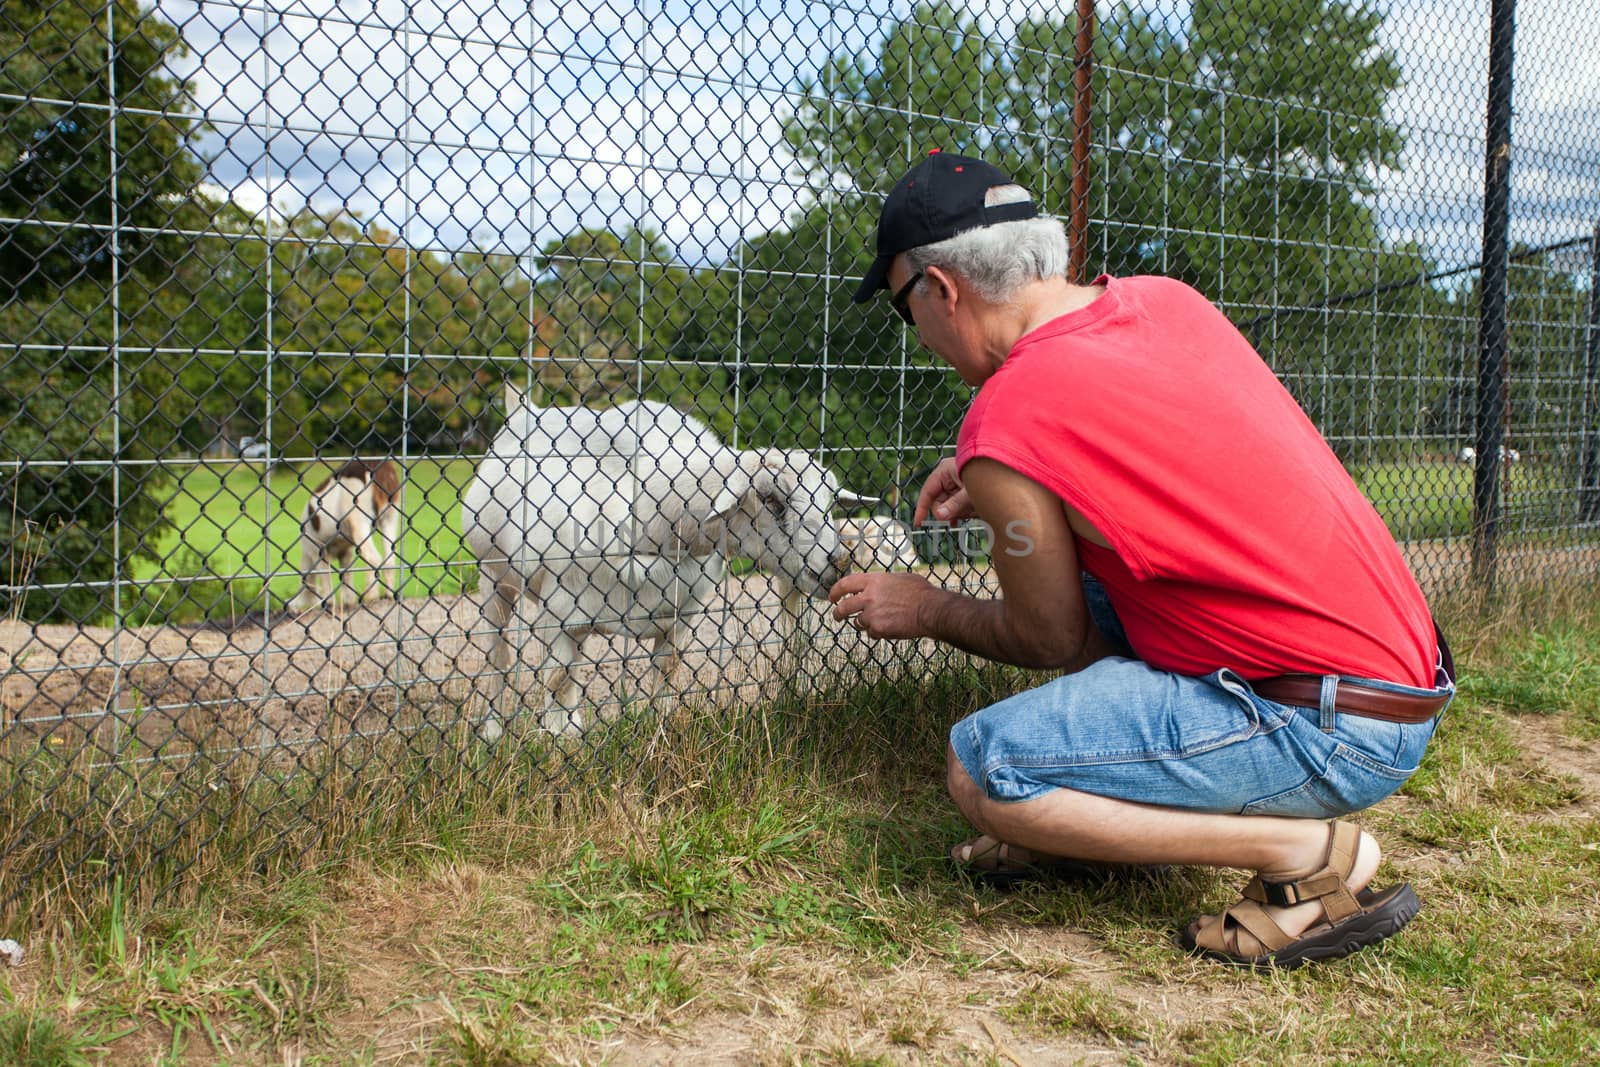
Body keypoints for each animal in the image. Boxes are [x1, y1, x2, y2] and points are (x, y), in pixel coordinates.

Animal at [288, 457, 403, 614]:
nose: (291, 609)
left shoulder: (317, 550)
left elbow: (326, 578)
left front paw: (329, 606)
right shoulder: (346, 553)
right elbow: (346, 576)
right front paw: (349, 603)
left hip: (358, 519)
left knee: (373, 558)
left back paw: (369, 596)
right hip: (390, 516)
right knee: (389, 558)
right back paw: (388, 596)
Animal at [464, 396, 876, 739]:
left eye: (829, 503)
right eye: (771, 500)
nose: (837, 565)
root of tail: (525, 407)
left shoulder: (677, 616)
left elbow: (666, 672)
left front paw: (655, 730)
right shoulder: (557, 616)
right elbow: (557, 680)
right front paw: (555, 744)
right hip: (491, 576)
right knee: (498, 655)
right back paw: (492, 731)